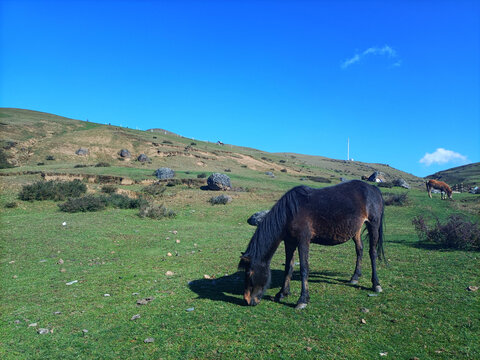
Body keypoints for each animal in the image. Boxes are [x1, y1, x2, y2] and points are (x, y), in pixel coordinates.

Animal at [240, 180, 386, 310]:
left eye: (249, 273)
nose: (247, 300)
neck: (290, 212)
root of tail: (373, 188)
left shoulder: (303, 241)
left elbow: (304, 268)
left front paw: (302, 300)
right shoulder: (289, 242)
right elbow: (288, 267)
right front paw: (282, 293)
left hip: (373, 224)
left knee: (372, 253)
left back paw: (376, 284)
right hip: (356, 230)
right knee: (359, 250)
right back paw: (355, 277)